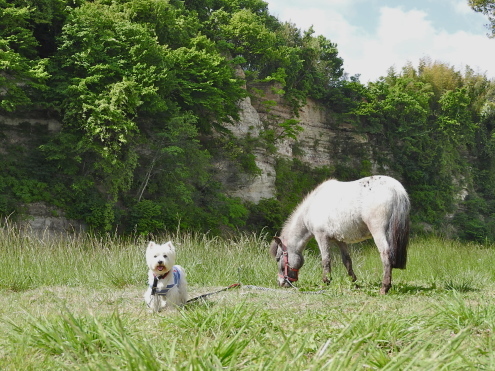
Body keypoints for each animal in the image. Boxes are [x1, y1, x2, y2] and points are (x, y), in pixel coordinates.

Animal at [272, 176, 410, 294]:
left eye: (278, 258)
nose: (281, 283)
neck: (311, 208)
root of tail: (396, 189)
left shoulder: (321, 237)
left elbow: (326, 260)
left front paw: (326, 282)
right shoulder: (340, 240)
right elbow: (347, 260)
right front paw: (354, 282)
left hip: (378, 232)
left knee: (385, 255)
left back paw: (384, 288)